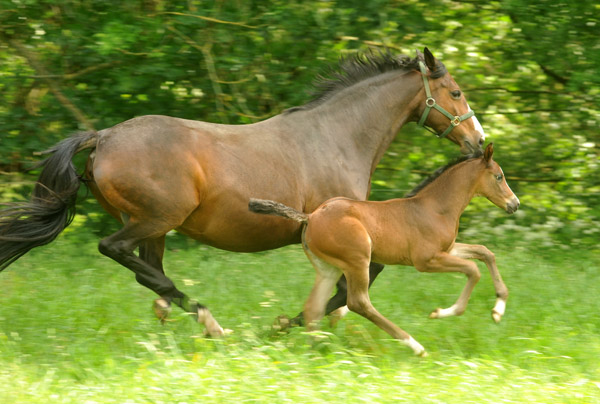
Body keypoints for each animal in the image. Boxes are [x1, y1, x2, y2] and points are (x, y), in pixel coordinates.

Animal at [250, 144, 520, 356]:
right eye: (498, 176)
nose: (514, 204)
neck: (435, 208)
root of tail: (310, 216)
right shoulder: (426, 261)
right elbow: (473, 270)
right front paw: (442, 313)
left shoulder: (448, 250)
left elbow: (485, 252)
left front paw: (498, 310)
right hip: (358, 261)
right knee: (358, 303)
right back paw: (414, 346)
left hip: (328, 268)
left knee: (314, 307)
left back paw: (315, 350)